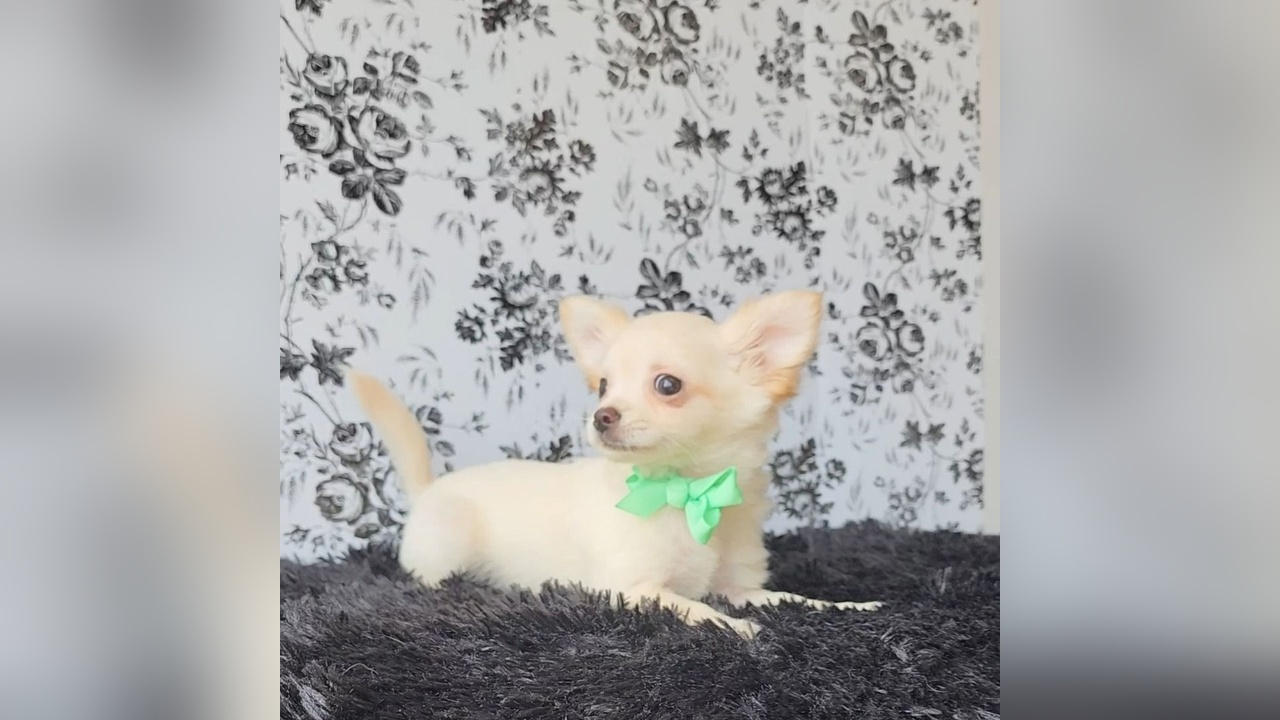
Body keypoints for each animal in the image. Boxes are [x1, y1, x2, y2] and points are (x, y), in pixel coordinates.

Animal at [348, 290, 882, 638]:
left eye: (667, 385)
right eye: (603, 386)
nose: (601, 415)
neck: (688, 490)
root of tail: (429, 489)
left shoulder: (740, 584)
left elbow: (794, 599)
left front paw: (852, 605)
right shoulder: (631, 587)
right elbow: (690, 606)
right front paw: (735, 626)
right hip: (447, 546)